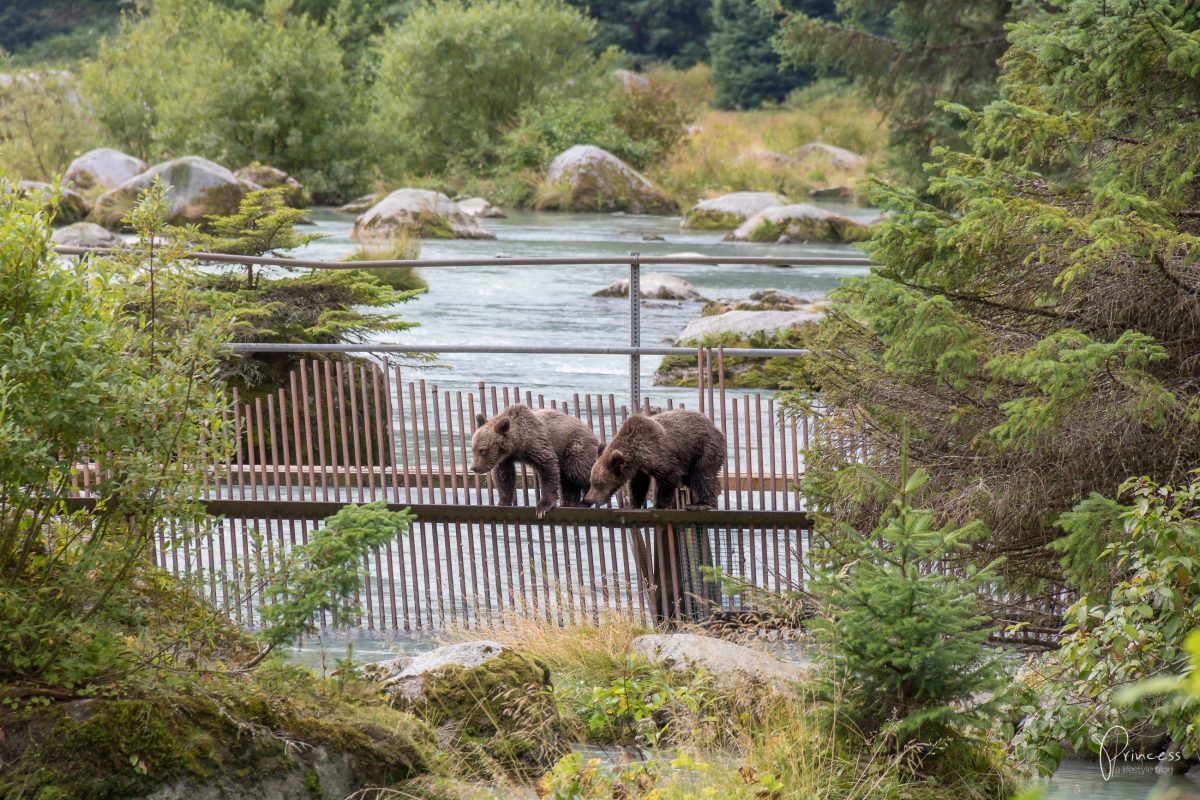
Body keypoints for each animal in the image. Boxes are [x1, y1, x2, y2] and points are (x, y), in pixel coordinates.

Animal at [468, 402, 600, 515]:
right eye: (473, 449)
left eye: (482, 450)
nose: (474, 467)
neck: (518, 443)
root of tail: (591, 432)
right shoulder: (506, 458)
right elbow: (504, 476)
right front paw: (502, 502)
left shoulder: (536, 443)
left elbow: (548, 468)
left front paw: (543, 506)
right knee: (567, 481)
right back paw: (569, 502)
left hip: (575, 446)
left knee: (578, 471)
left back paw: (585, 501)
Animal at [580, 410, 720, 510]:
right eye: (591, 481)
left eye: (600, 483)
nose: (588, 499)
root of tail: (715, 427)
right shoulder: (639, 468)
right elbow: (638, 484)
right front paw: (632, 505)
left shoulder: (659, 454)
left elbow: (669, 477)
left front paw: (658, 505)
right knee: (691, 478)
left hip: (703, 449)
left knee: (702, 476)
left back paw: (701, 504)